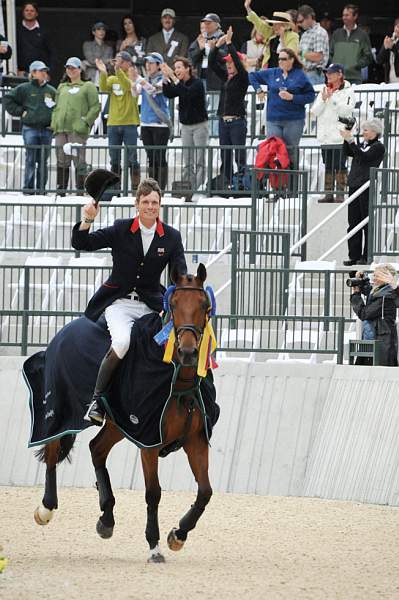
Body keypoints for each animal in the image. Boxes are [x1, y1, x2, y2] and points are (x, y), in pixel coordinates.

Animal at [33, 262, 217, 564]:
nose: (189, 352)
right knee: (51, 447)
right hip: (62, 408)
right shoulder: (148, 440)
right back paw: (46, 508)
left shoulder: (196, 439)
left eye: (204, 304)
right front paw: (154, 546)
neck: (178, 381)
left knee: (96, 449)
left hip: (116, 424)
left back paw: (106, 518)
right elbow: (153, 493)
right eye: (174, 304)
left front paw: (177, 535)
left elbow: (205, 492)